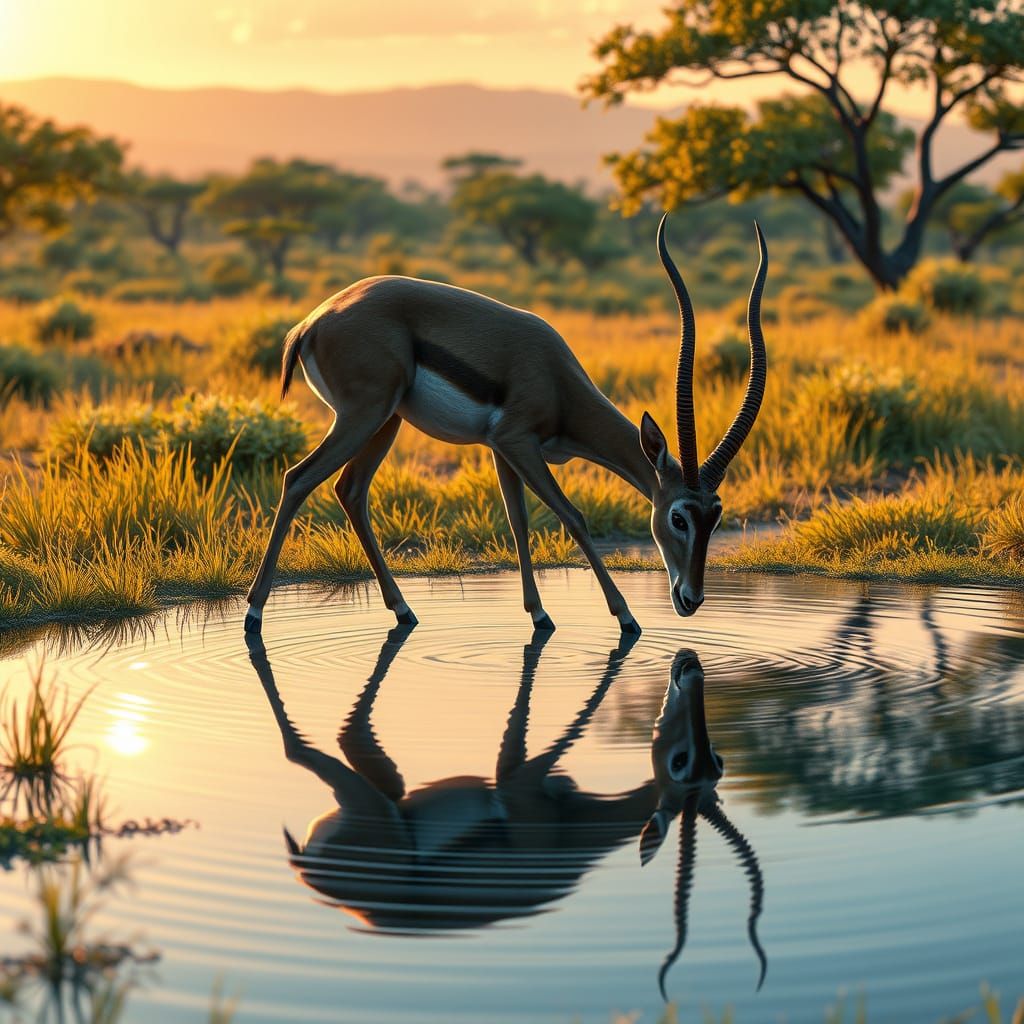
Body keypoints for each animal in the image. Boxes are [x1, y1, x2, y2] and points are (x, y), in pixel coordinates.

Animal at [243, 217, 768, 635]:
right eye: (678, 517)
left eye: (715, 516)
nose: (691, 599)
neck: (556, 378)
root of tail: (311, 322)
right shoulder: (518, 442)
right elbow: (571, 516)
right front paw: (625, 617)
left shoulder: (501, 449)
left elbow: (518, 520)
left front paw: (540, 615)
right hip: (363, 416)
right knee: (299, 479)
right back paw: (253, 614)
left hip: (386, 421)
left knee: (349, 490)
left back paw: (404, 611)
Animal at [246, 632, 766, 997]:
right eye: (681, 760)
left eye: (714, 760)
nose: (690, 666)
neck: (571, 831)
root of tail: (314, 874)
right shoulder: (516, 778)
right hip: (366, 801)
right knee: (298, 749)